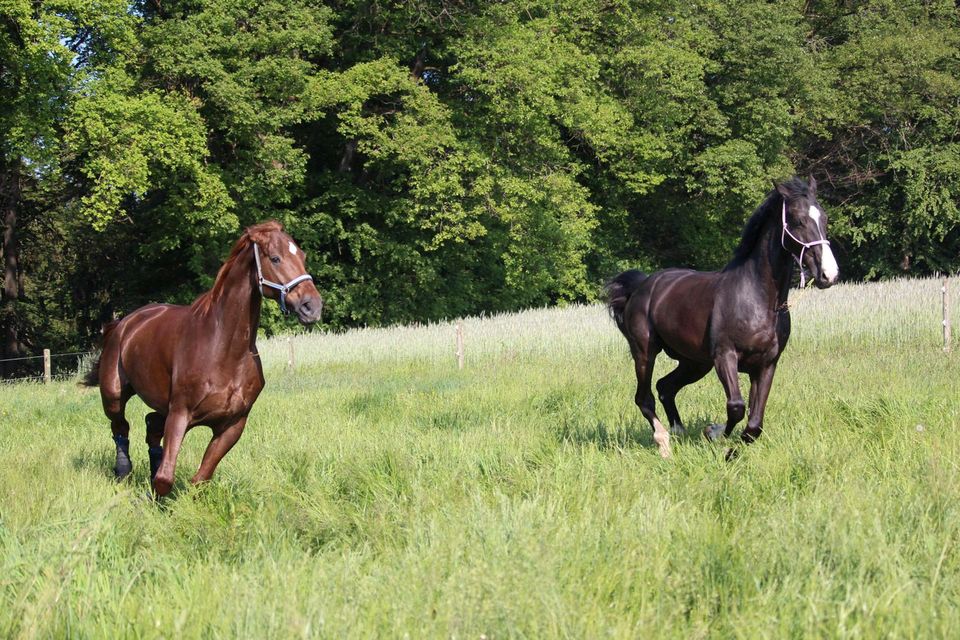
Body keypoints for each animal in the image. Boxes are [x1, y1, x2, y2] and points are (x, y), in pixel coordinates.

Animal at [83, 220, 322, 496]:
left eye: (303, 256)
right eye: (275, 258)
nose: (312, 306)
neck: (223, 350)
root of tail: (123, 323)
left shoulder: (232, 425)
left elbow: (200, 479)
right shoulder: (179, 414)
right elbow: (165, 479)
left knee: (151, 425)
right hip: (113, 395)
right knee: (120, 426)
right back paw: (123, 471)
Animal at [608, 175, 840, 458]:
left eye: (824, 218)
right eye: (797, 220)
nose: (829, 274)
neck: (758, 298)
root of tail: (641, 286)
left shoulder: (767, 364)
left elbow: (754, 423)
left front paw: (729, 449)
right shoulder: (725, 356)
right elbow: (736, 407)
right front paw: (713, 432)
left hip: (694, 362)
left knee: (665, 387)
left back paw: (679, 432)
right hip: (645, 352)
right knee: (644, 397)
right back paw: (664, 443)